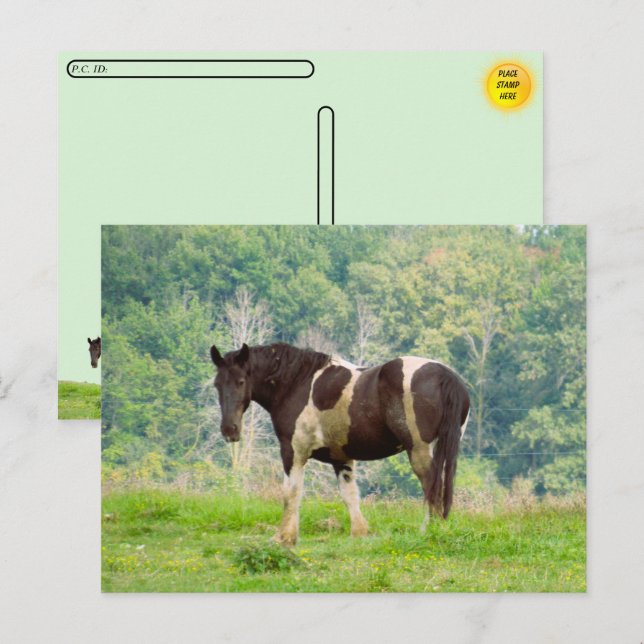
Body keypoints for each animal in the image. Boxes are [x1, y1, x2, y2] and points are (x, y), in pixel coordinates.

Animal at [210, 342, 470, 546]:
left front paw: (285, 537)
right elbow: (349, 495)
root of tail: (445, 375)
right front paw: (359, 533)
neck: (297, 383)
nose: (229, 430)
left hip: (419, 450)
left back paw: (428, 530)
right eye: (217, 384)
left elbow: (291, 493)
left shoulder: (293, 452)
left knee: (431, 485)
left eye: (241, 381)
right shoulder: (341, 458)